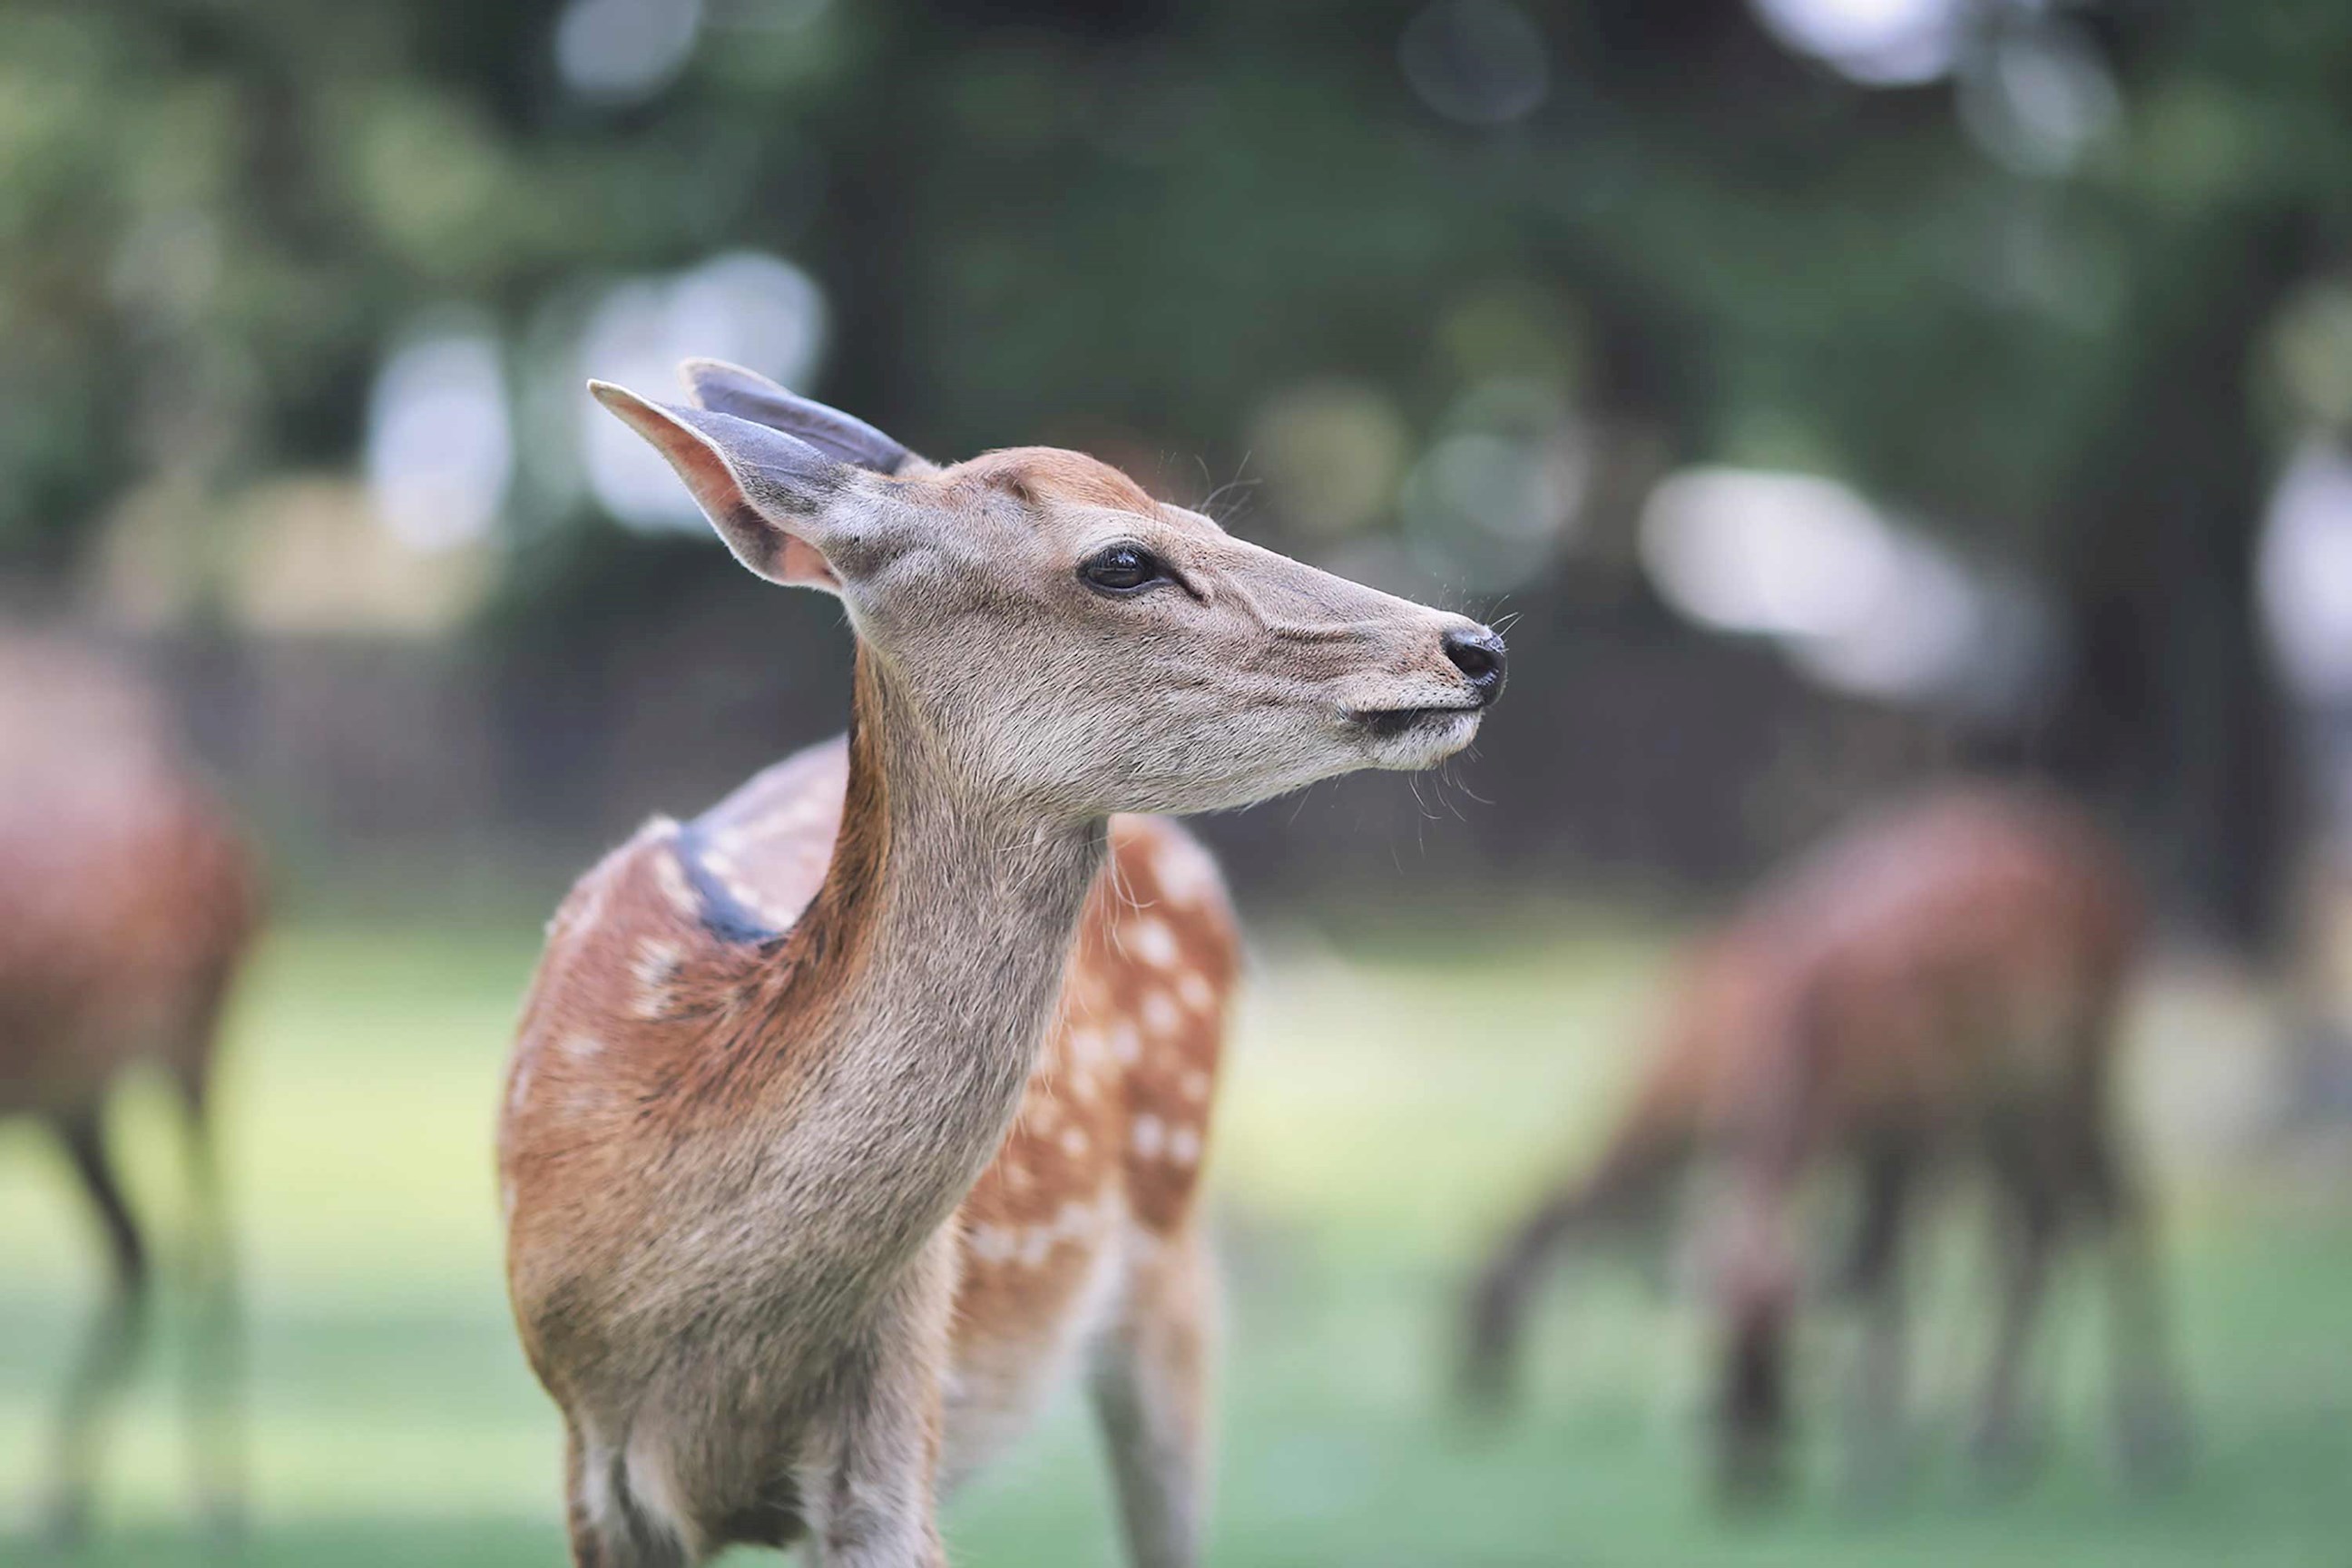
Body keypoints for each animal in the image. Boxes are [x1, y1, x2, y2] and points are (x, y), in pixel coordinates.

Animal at [0, 636, 259, 1543]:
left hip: (193, 1034)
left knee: (203, 1243)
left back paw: (217, 1493)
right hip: (75, 1094)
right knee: (135, 1246)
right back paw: (64, 1495)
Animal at [497, 359, 1508, 1568]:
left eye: (1213, 521)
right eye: (1123, 561)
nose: (1475, 647)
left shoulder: (897, 1400)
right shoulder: (592, 1465)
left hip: (1174, 1256)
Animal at [1458, 785, 2187, 1500]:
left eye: (1776, 1379)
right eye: (1721, 1371)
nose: (1745, 1484)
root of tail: (2120, 873)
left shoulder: (1910, 1117)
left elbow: (1875, 1273)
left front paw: (1871, 1464)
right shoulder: (1834, 1133)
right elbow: (1841, 1265)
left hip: (2079, 1049)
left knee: (2108, 1198)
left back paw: (2131, 1436)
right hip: (2006, 1097)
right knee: (2045, 1216)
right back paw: (2006, 1432)